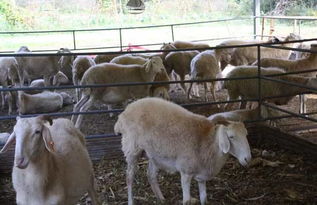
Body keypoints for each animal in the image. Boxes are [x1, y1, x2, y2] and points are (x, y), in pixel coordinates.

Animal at [115, 98, 251, 205]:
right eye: (231, 137)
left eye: (246, 134)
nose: (248, 159)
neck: (208, 143)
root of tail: (125, 112)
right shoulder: (185, 172)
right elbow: (186, 201)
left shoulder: (202, 176)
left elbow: (204, 199)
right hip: (131, 148)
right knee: (129, 177)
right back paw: (131, 201)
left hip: (154, 153)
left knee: (151, 175)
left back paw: (161, 199)